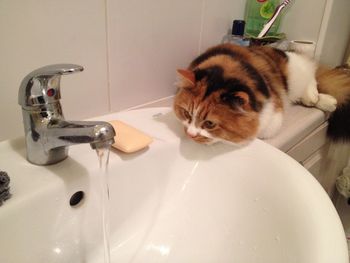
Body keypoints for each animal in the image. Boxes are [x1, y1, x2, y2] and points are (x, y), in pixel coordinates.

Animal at [173, 43, 350, 146]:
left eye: (209, 123)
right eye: (186, 113)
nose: (190, 134)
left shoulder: (273, 116)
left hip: (294, 71)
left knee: (310, 70)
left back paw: (314, 95)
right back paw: (325, 101)